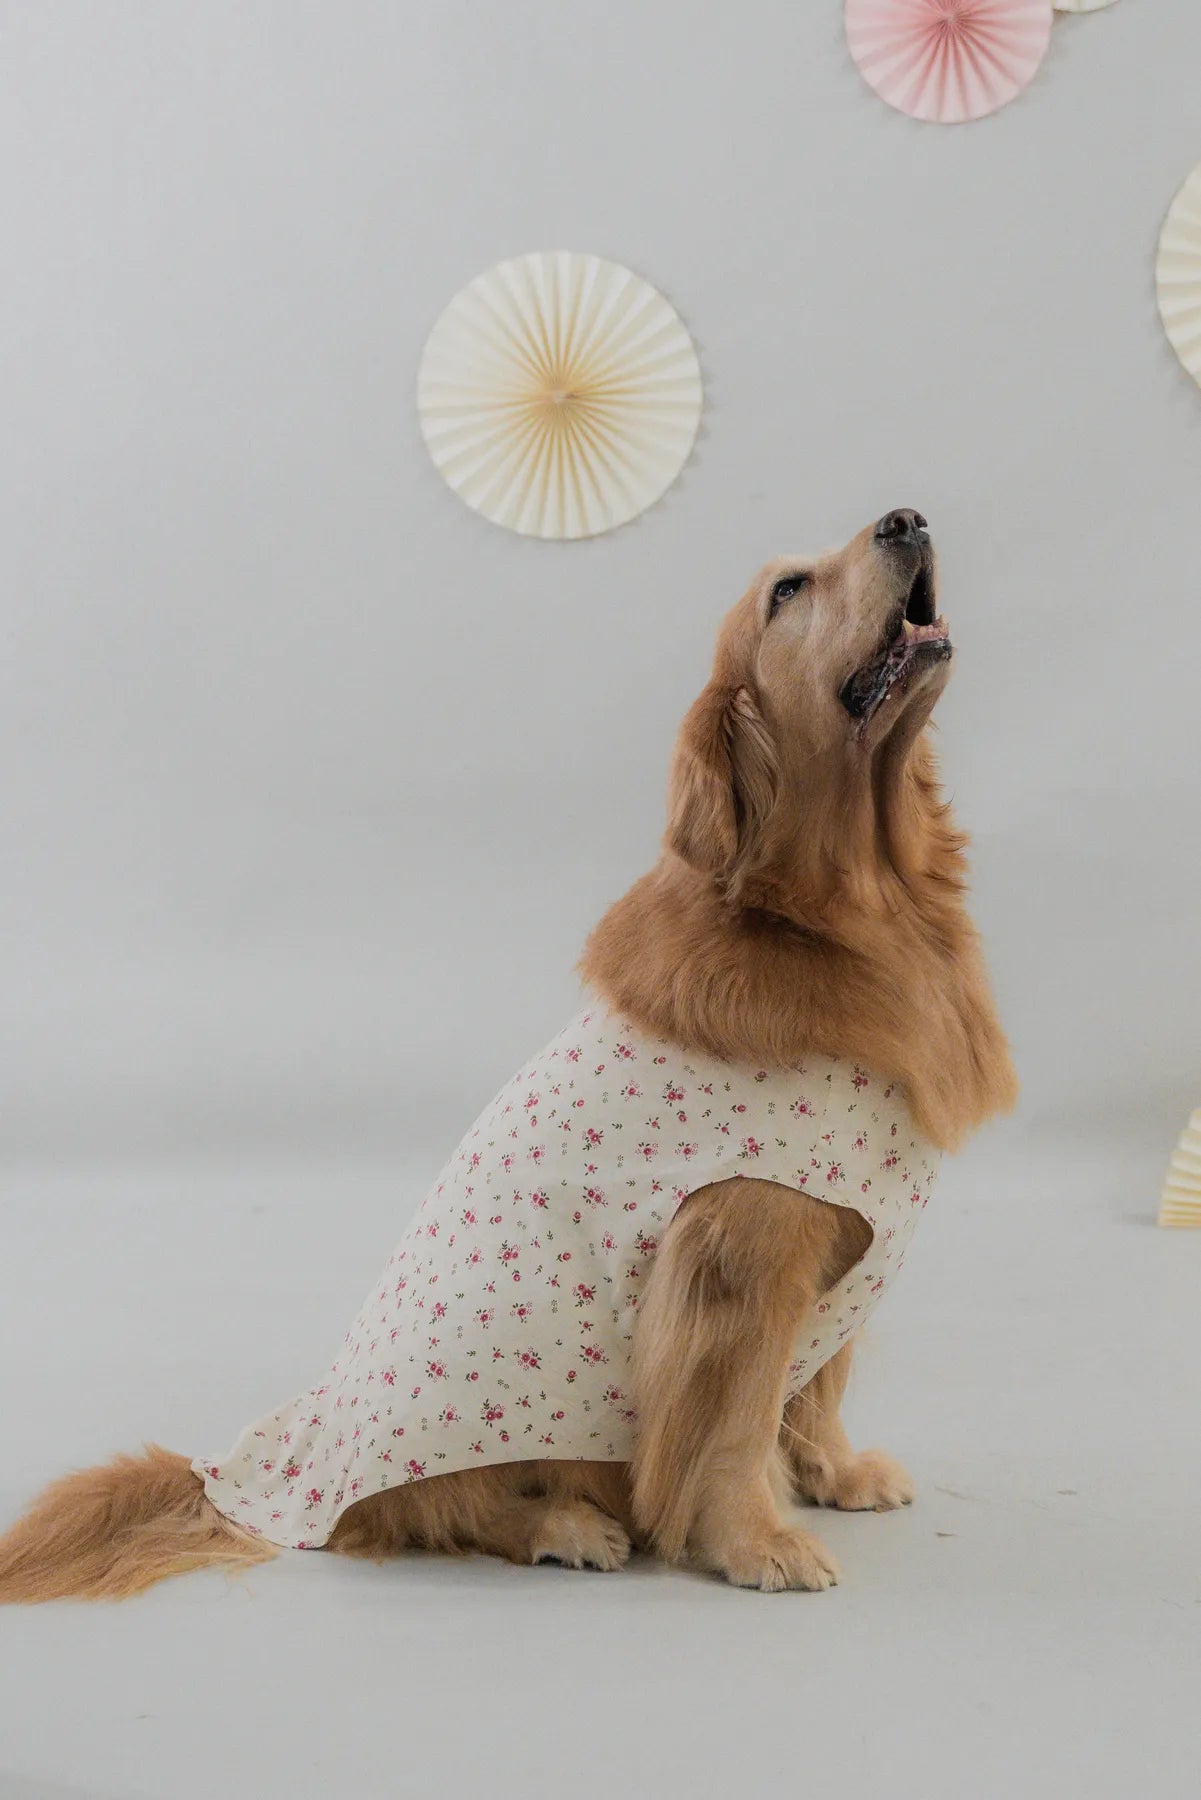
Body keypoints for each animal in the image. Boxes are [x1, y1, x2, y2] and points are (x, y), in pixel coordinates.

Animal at [0, 507, 1016, 1599]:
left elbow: (814, 1387)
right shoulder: (744, 1256)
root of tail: (265, 1463)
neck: (859, 911)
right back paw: (561, 1526)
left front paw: (836, 1471)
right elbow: (737, 1423)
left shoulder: (837, 1247)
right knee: (419, 1512)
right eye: (787, 592)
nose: (906, 518)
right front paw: (755, 1541)